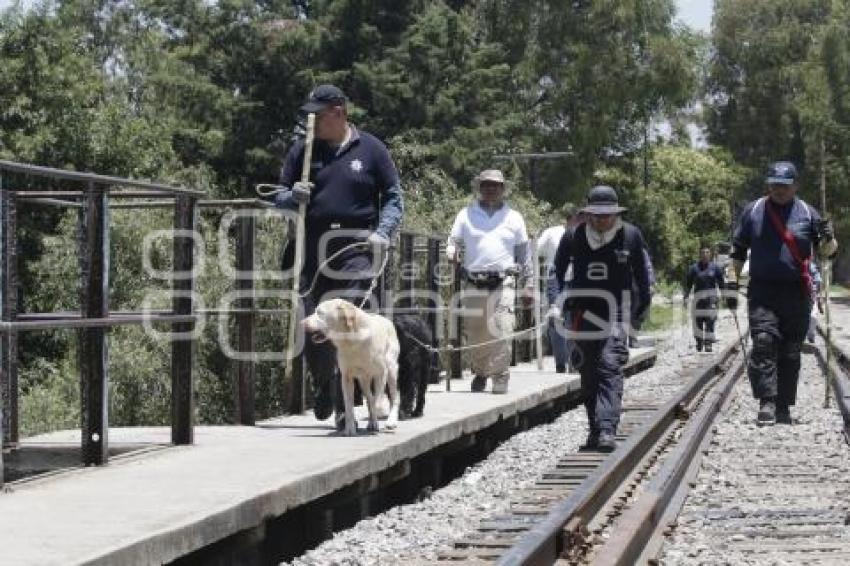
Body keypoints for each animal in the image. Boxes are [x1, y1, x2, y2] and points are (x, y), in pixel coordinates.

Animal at [302, 300, 400, 438]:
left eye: (320, 312)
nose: (302, 323)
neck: (351, 341)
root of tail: (386, 319)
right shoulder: (346, 378)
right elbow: (349, 406)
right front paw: (349, 429)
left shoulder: (381, 374)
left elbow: (376, 402)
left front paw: (375, 421)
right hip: (364, 380)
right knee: (369, 397)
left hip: (391, 370)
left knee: (394, 396)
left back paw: (390, 422)